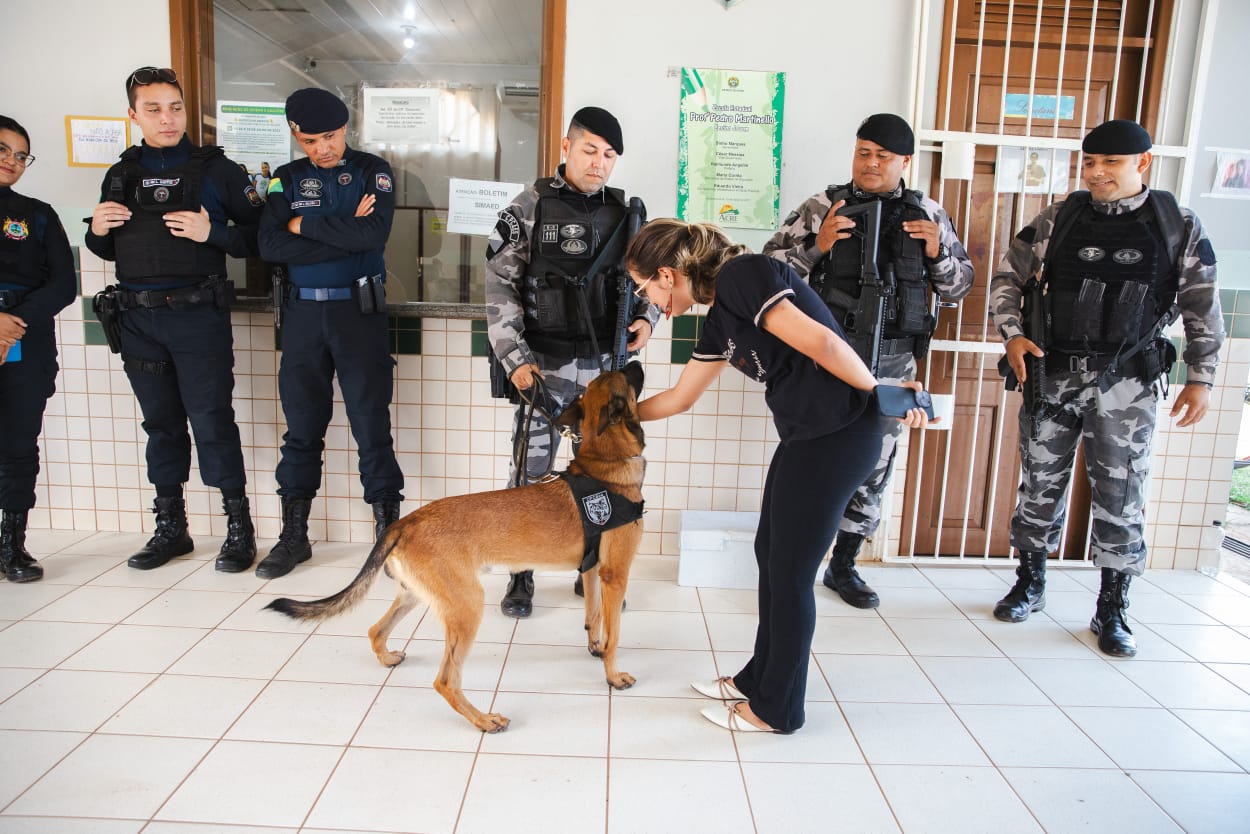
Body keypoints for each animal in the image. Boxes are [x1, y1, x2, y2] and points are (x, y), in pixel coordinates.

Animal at [270, 362, 650, 735]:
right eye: (626, 377)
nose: (635, 358)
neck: (604, 465)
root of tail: (403, 523)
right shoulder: (615, 575)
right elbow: (614, 634)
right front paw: (613, 676)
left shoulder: (591, 570)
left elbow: (593, 617)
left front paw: (594, 647)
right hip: (467, 606)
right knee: (445, 681)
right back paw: (484, 720)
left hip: (416, 594)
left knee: (376, 631)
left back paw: (389, 657)